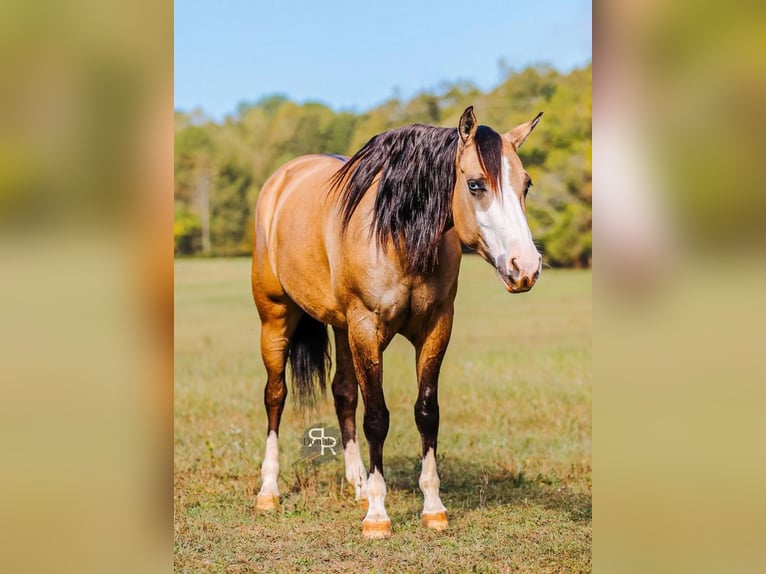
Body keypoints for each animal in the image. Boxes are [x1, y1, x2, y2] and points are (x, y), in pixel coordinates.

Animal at [251, 106, 543, 539]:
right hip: (275, 318)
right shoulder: (366, 328)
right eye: (475, 184)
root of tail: (282, 179)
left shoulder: (436, 327)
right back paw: (269, 491)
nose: (526, 267)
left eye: (526, 184)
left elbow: (426, 412)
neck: (397, 234)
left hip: (342, 329)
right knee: (276, 396)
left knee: (343, 393)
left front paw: (433, 508)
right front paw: (377, 515)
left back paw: (356, 484)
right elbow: (376, 418)